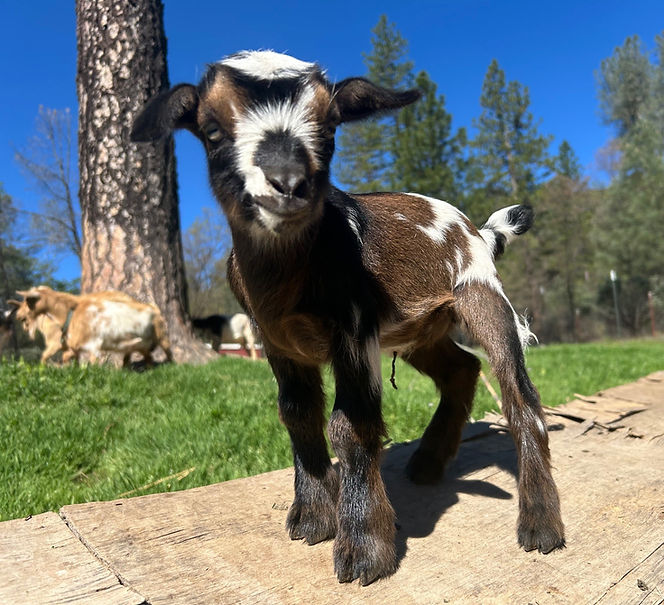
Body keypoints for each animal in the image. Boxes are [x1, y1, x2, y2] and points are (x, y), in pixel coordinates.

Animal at [16, 286, 173, 367]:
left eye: (28, 300)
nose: (18, 316)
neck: (71, 313)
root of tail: (153, 308)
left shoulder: (94, 346)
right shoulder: (75, 348)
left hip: (161, 336)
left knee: (168, 352)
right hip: (140, 345)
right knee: (146, 358)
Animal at [132, 50, 565, 585]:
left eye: (330, 125)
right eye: (211, 129)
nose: (287, 184)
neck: (288, 283)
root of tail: (478, 231)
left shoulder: (353, 330)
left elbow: (350, 424)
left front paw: (363, 547)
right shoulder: (276, 340)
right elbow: (297, 413)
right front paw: (314, 516)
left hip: (481, 293)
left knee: (518, 392)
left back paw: (540, 525)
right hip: (419, 329)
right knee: (462, 369)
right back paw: (426, 464)